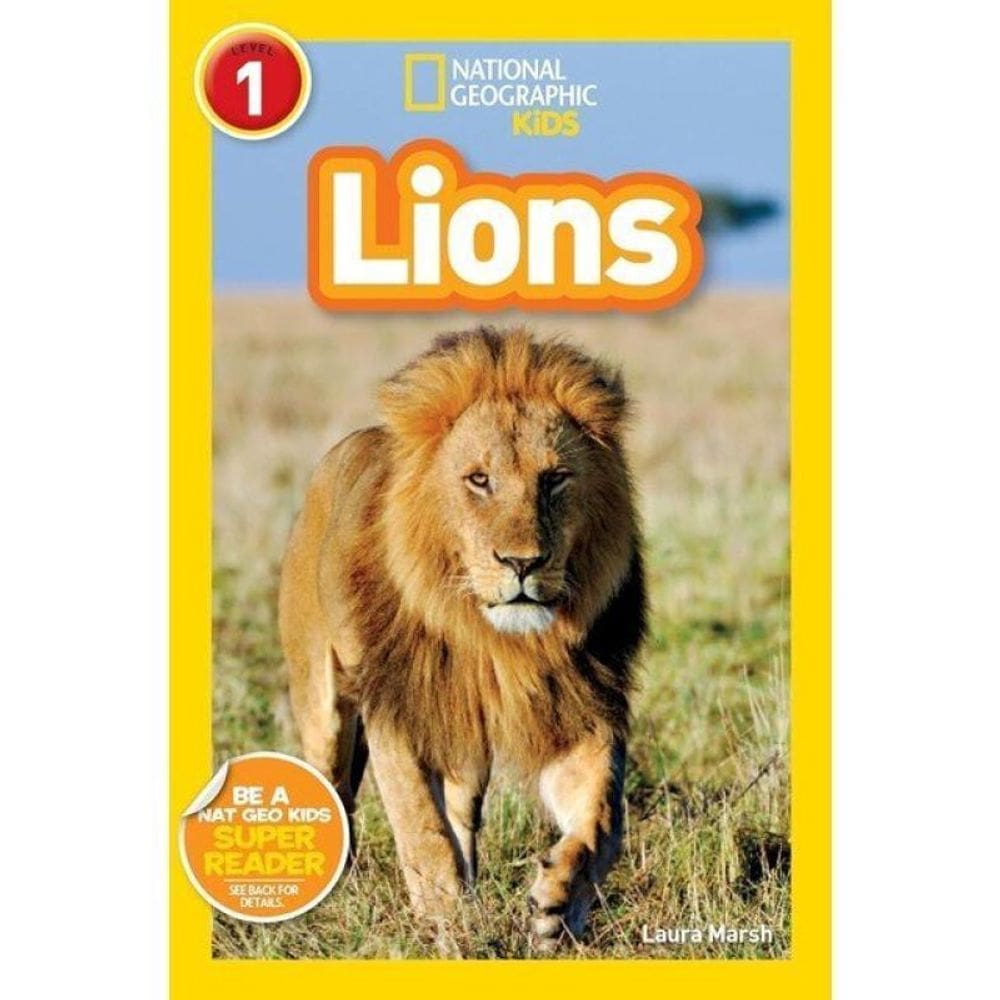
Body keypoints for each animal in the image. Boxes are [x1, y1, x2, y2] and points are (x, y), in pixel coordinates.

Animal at [279, 327, 647, 948]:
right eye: (479, 480)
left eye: (554, 479)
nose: (522, 563)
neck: (493, 641)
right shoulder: (398, 710)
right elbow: (421, 829)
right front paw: (447, 927)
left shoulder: (578, 709)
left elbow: (603, 819)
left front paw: (559, 905)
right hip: (321, 705)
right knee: (335, 784)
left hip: (466, 745)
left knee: (462, 814)